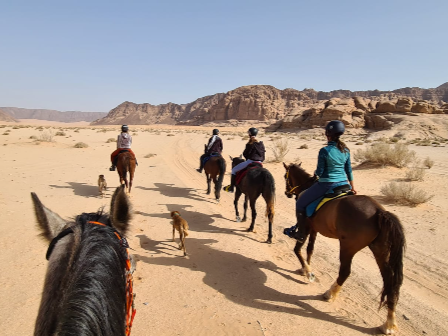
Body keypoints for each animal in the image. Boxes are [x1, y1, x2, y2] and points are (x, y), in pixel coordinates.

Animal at [284, 162, 406, 334]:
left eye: (285, 176)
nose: (287, 193)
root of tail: (379, 212)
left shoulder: (306, 228)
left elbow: (298, 249)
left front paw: (308, 271)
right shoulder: (314, 229)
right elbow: (310, 249)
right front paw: (305, 268)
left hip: (348, 247)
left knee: (345, 271)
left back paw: (330, 293)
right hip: (380, 251)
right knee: (390, 281)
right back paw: (389, 323)